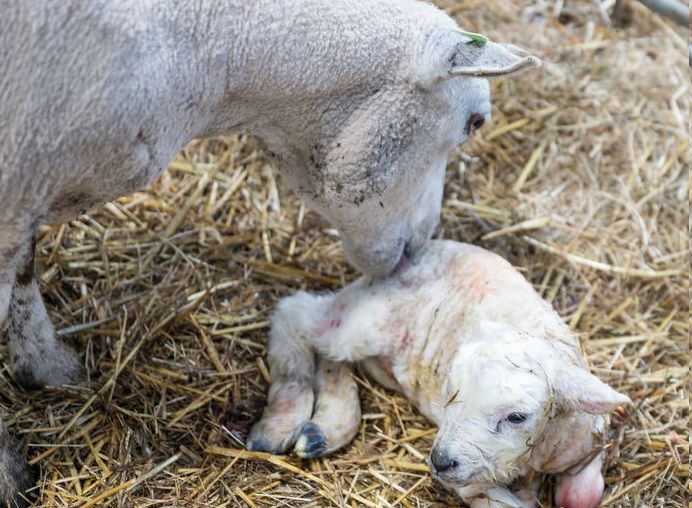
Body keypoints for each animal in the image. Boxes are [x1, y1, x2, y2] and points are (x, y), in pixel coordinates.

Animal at [249, 240, 632, 506]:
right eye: (450, 392)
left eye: (516, 417)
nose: (441, 462)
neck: (536, 455)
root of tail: (415, 251)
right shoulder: (474, 483)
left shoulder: (584, 444)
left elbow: (582, 497)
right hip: (364, 320)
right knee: (295, 314)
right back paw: (281, 419)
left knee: (333, 358)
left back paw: (325, 428)